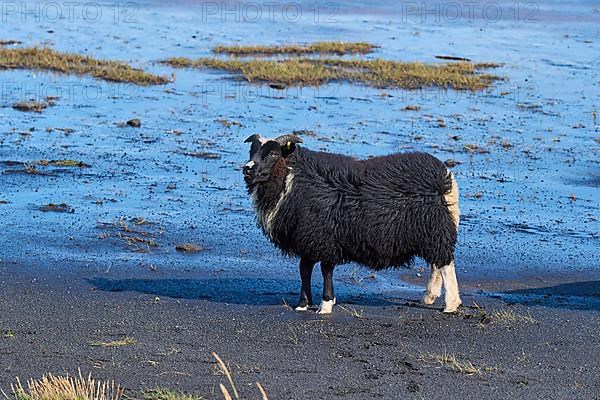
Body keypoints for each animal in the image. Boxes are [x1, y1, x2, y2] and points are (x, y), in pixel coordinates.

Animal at [241, 133, 462, 314]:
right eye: (252, 151)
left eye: (273, 154)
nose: (247, 169)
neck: (290, 179)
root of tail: (445, 177)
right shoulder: (308, 237)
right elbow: (304, 269)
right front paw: (303, 304)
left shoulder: (325, 237)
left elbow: (326, 269)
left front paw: (325, 304)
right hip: (431, 230)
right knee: (436, 264)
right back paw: (429, 297)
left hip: (436, 228)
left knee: (445, 264)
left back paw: (451, 304)